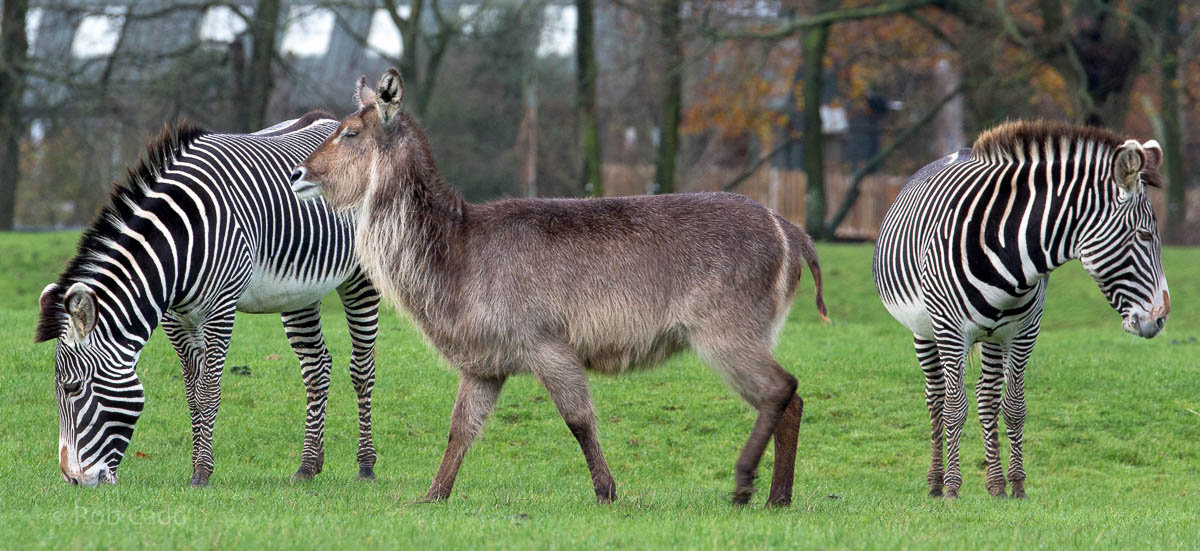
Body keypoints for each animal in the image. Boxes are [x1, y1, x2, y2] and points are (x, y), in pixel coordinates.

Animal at [34, 112, 381, 487]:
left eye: (72, 388)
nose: (72, 479)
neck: (179, 246)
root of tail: (330, 120)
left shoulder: (220, 309)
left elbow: (208, 391)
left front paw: (201, 473)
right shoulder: (175, 319)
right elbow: (192, 393)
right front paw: (198, 466)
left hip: (360, 279)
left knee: (362, 368)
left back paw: (366, 466)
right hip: (300, 292)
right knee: (317, 367)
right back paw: (307, 466)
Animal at [873, 120, 1170, 499]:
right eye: (1145, 236)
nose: (1160, 318)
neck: (1006, 248)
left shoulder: (1024, 333)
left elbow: (1014, 407)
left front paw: (1016, 486)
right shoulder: (951, 332)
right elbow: (955, 408)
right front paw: (953, 488)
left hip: (993, 337)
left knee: (987, 397)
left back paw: (995, 485)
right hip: (924, 330)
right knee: (936, 398)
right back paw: (937, 483)